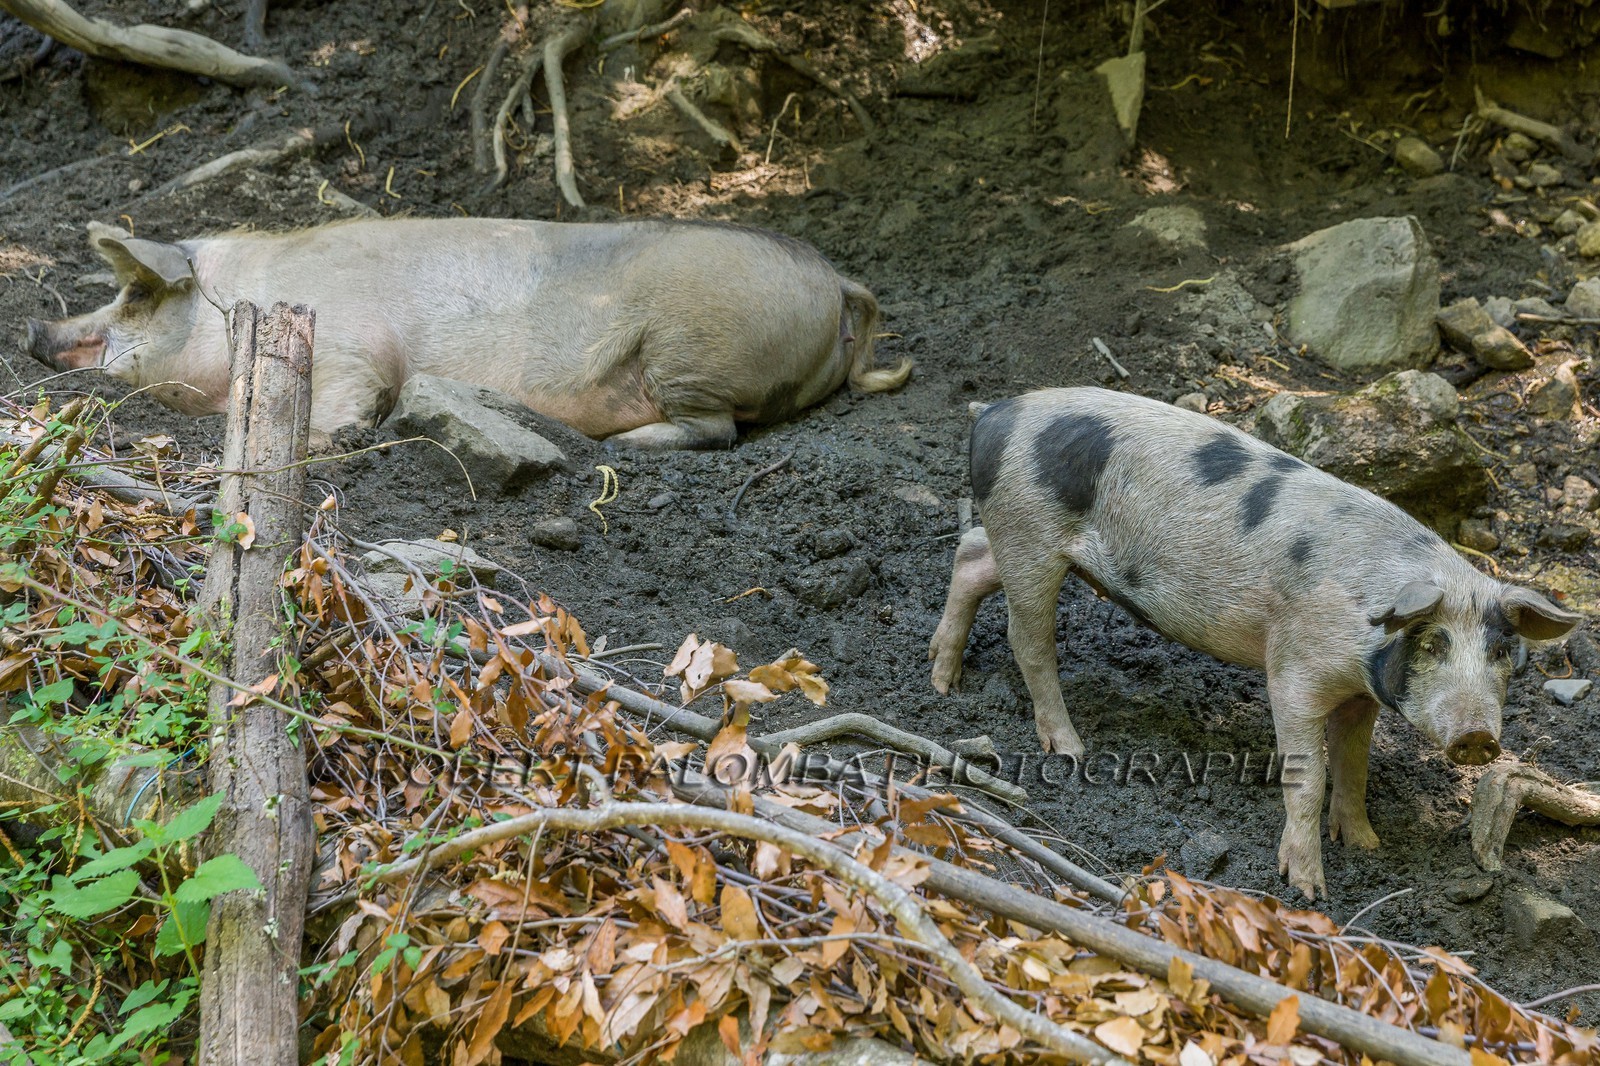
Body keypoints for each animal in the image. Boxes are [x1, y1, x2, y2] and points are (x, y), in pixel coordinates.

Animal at [23, 218, 910, 449]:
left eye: (133, 295)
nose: (35, 329)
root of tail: (834, 280)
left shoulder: (349, 345)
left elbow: (347, 401)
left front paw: (334, 440)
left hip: (693, 346)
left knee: (717, 429)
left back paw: (626, 446)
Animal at [928, 387, 1583, 899]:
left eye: (1501, 651)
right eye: (1434, 645)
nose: (1478, 737)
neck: (1365, 629)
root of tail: (994, 412)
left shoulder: (1359, 695)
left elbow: (1354, 765)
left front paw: (1367, 847)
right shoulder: (1294, 673)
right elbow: (1309, 775)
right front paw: (1309, 889)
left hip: (1016, 539)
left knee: (971, 555)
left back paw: (941, 679)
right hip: (1031, 535)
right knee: (1028, 637)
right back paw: (1069, 750)